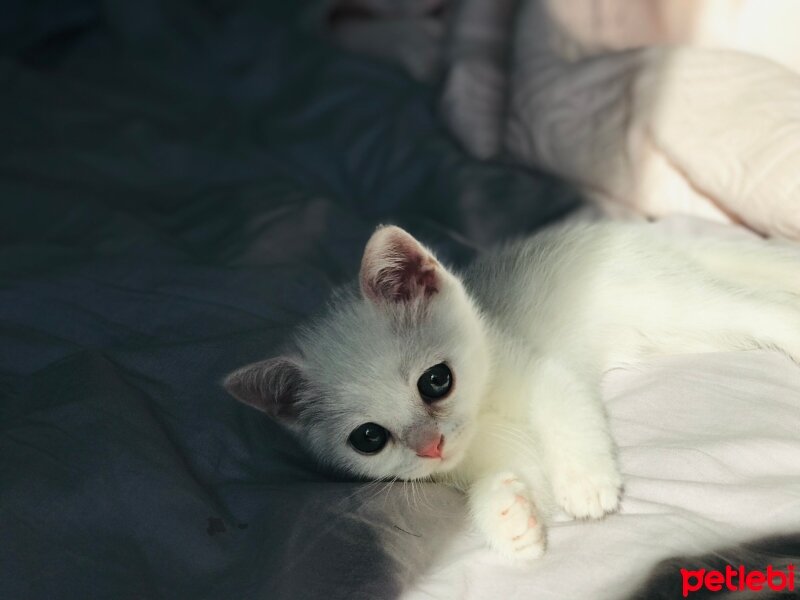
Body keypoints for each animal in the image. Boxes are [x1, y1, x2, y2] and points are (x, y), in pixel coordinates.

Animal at [223, 220, 800, 564]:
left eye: (436, 380)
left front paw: (586, 483)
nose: (430, 445)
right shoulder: (473, 461)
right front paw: (508, 516)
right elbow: (508, 478)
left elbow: (564, 409)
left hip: (670, 304)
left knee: (759, 306)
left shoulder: (540, 369)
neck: (486, 416)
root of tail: (626, 230)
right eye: (369, 438)